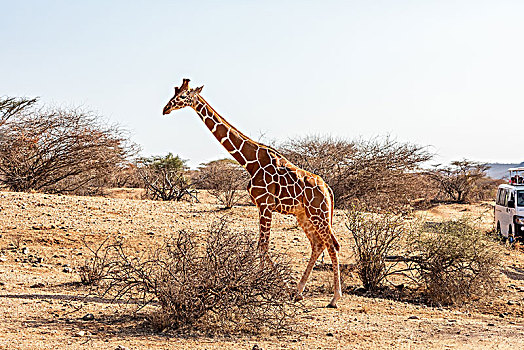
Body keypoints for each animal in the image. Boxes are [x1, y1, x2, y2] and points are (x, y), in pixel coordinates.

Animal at [164, 78, 344, 306]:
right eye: (174, 92)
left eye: (183, 96)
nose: (165, 109)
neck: (250, 161)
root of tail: (327, 189)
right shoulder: (261, 206)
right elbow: (261, 246)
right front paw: (272, 285)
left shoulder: (265, 205)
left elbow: (263, 246)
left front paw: (263, 285)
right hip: (304, 215)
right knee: (318, 244)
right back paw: (298, 291)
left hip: (318, 213)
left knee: (332, 244)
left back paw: (334, 298)